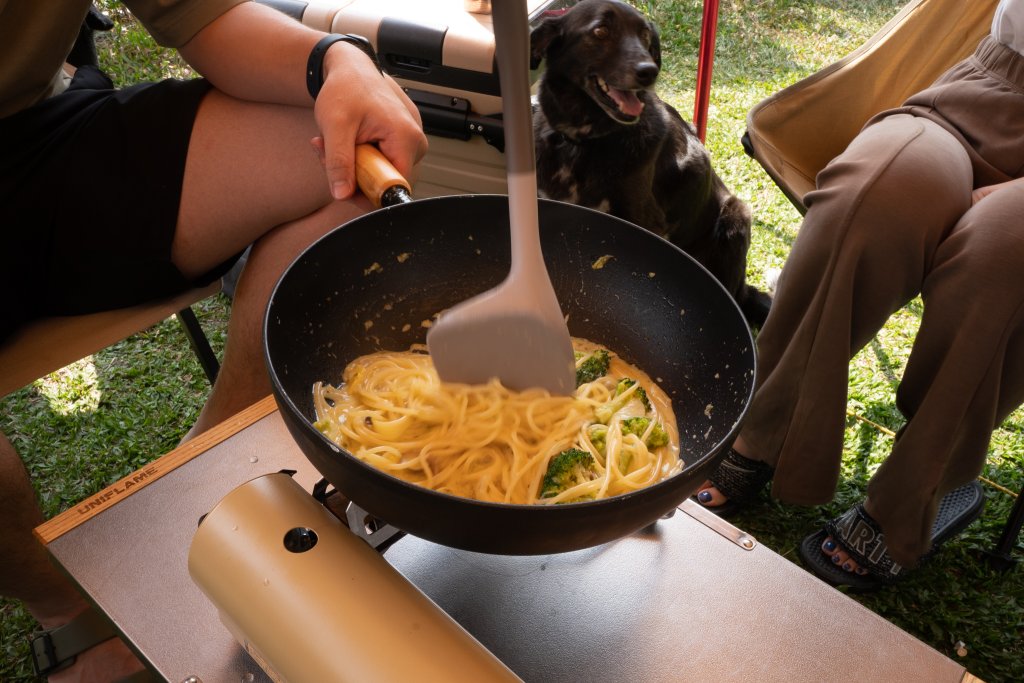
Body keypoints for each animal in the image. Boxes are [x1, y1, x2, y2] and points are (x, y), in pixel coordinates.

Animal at [532, 0, 770, 327]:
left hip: (736, 218)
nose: (649, 71)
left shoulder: (646, 221)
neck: (583, 141)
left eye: (645, 37)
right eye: (601, 31)